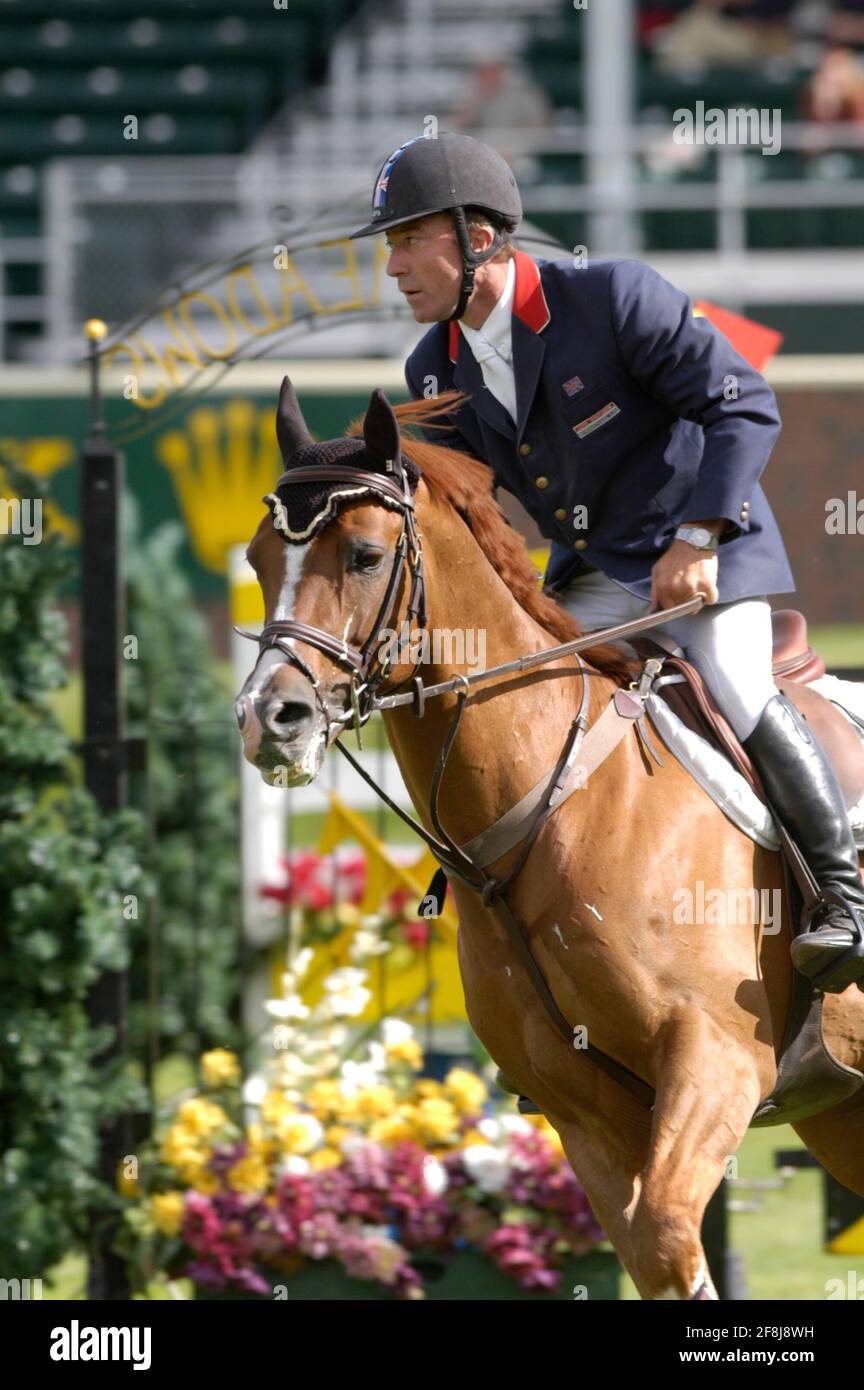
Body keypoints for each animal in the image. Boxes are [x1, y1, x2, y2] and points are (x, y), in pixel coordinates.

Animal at [234, 375, 864, 1295]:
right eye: (256, 561)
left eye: (365, 556)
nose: (269, 720)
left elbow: (671, 1237)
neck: (554, 807)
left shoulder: (717, 1062)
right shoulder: (583, 1111)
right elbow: (650, 1249)